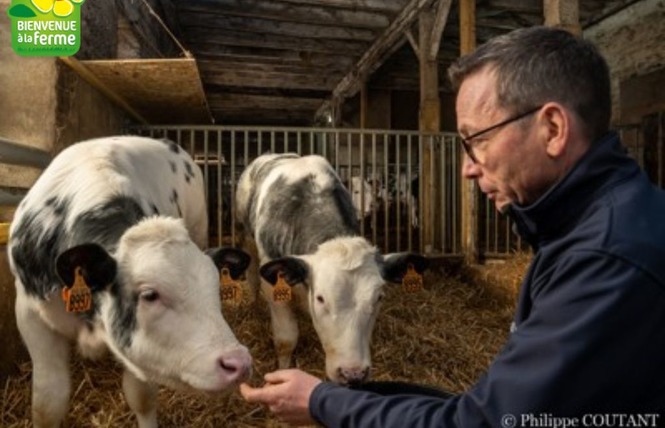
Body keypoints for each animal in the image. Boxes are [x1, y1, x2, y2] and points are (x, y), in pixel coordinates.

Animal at [7, 136, 252, 428]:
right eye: (149, 295)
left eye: (215, 290)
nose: (238, 362)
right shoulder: (31, 317)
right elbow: (48, 404)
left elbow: (141, 397)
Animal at [236, 153, 428, 384]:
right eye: (321, 298)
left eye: (379, 297)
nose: (353, 373)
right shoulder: (274, 286)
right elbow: (286, 339)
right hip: (246, 237)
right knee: (252, 276)